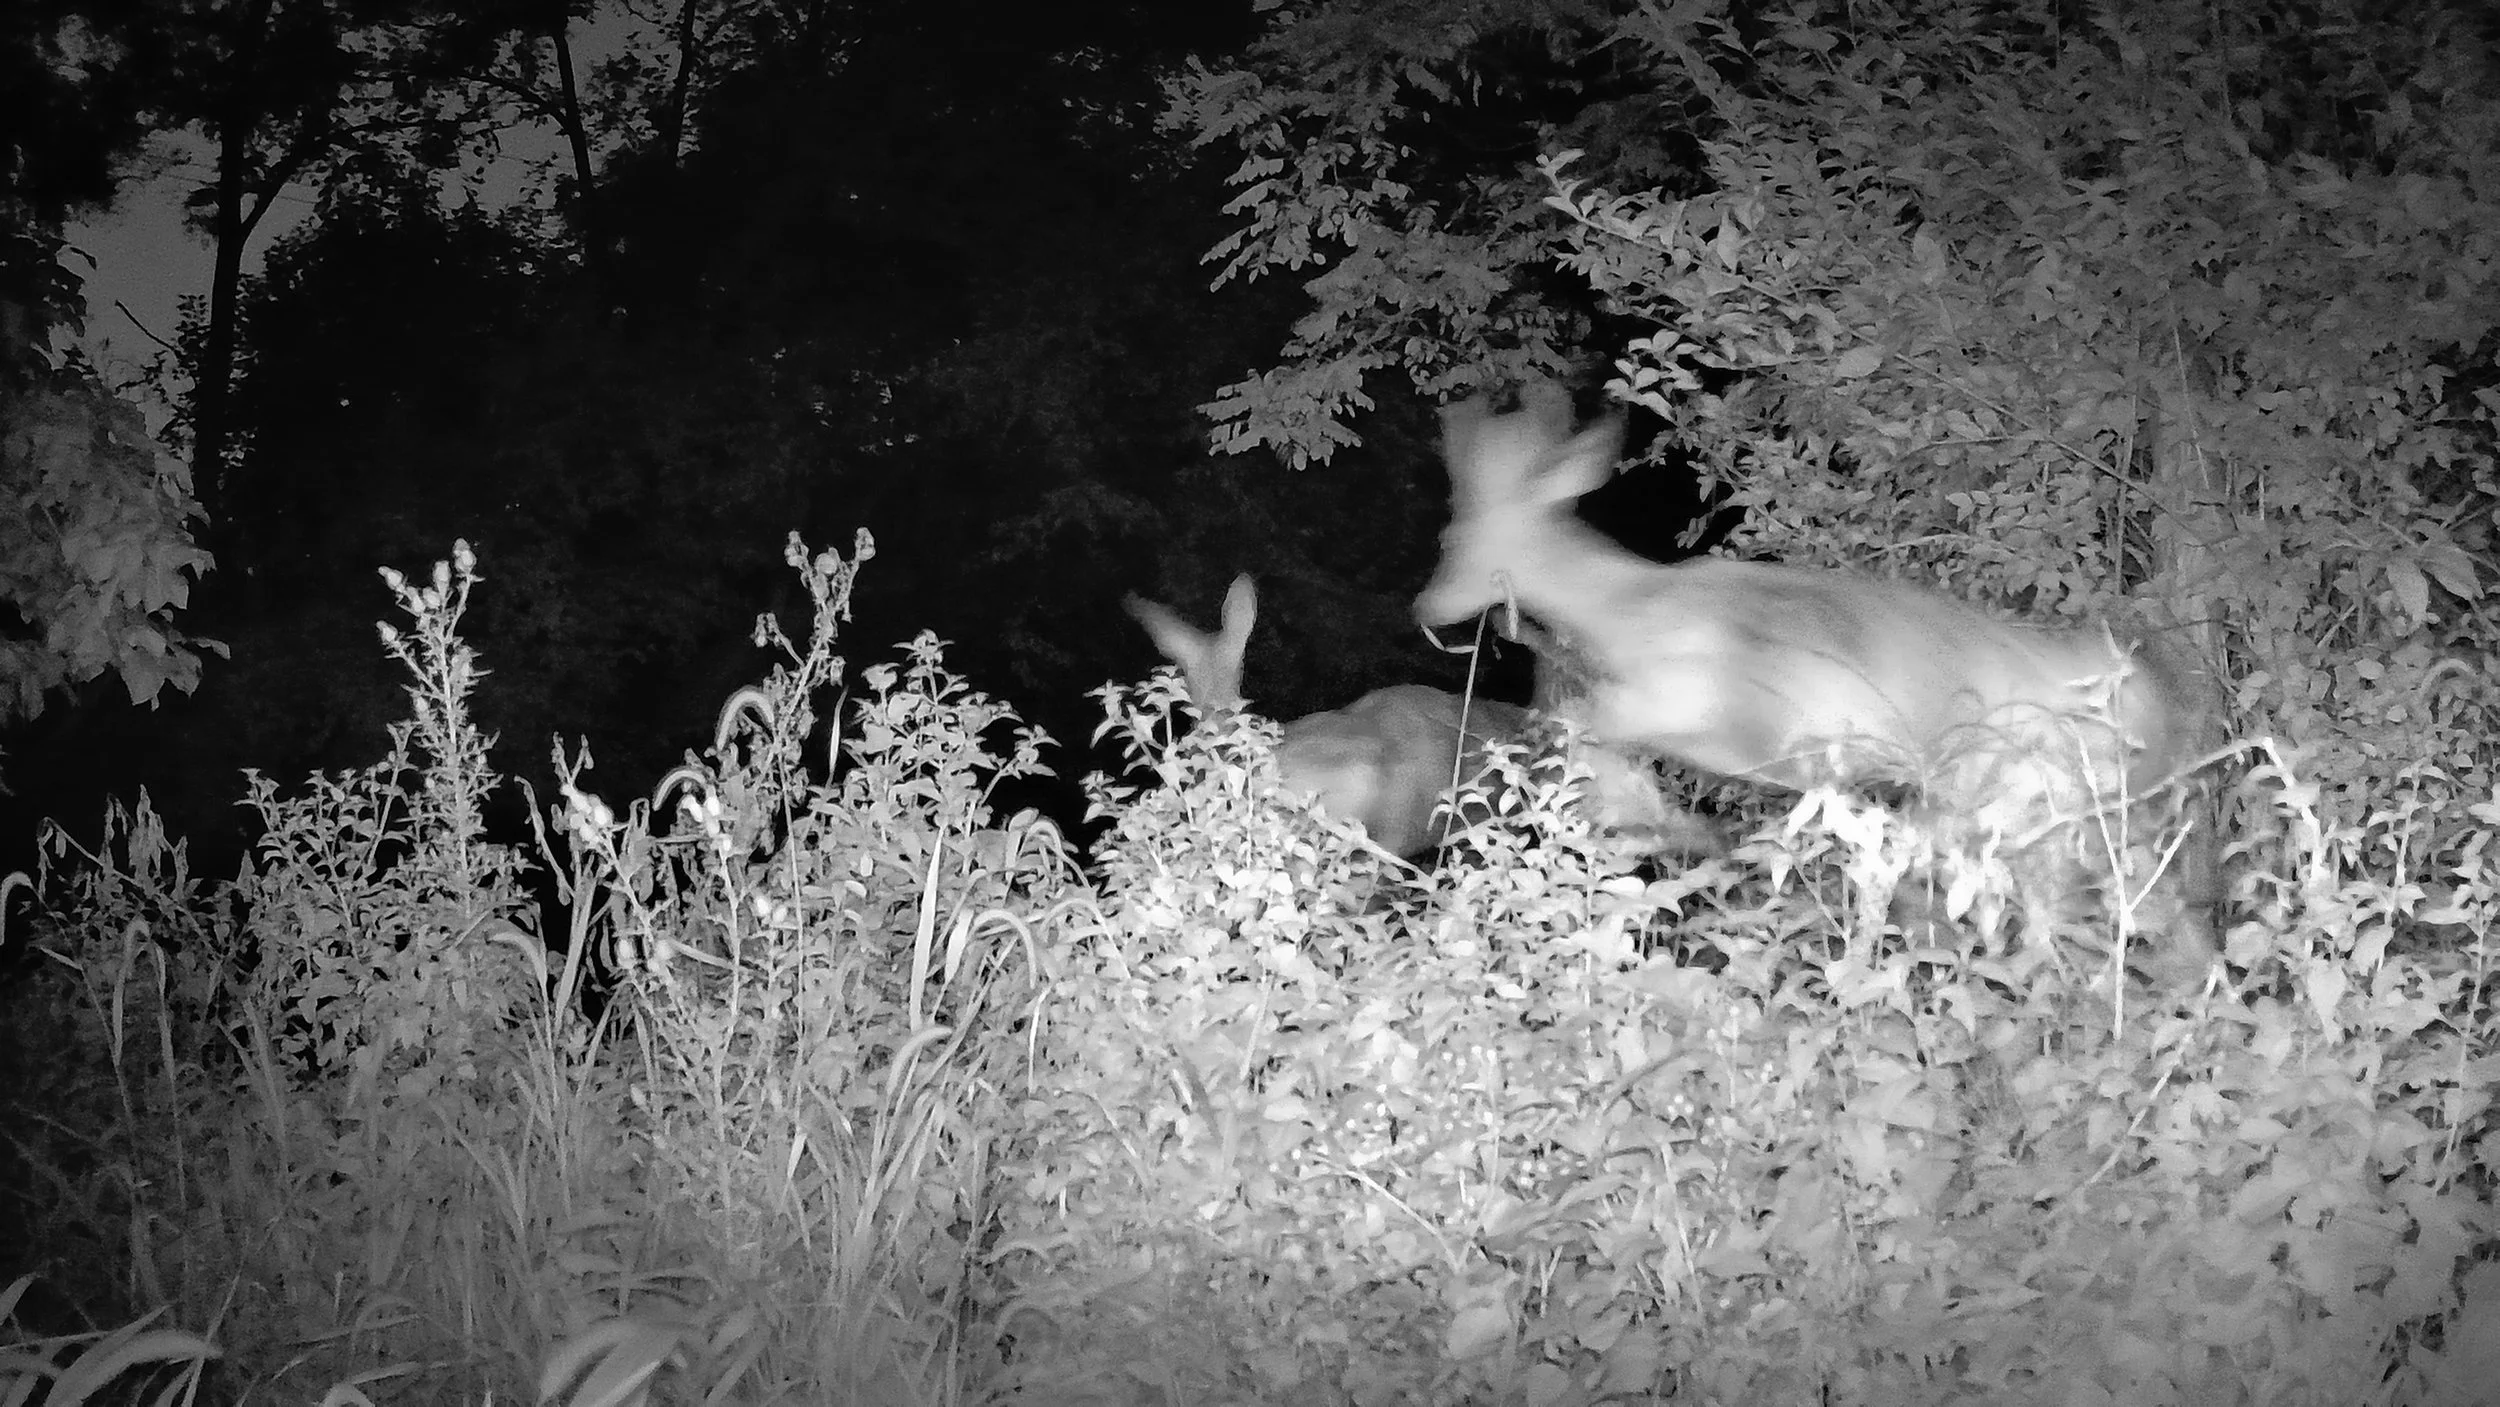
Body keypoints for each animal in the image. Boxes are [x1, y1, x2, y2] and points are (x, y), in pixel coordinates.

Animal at [1414, 381, 2217, 968]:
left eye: (1451, 538)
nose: (1423, 606)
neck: (1628, 609)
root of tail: (2165, 700)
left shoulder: (1710, 713)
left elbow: (1585, 727)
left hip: (2030, 800)